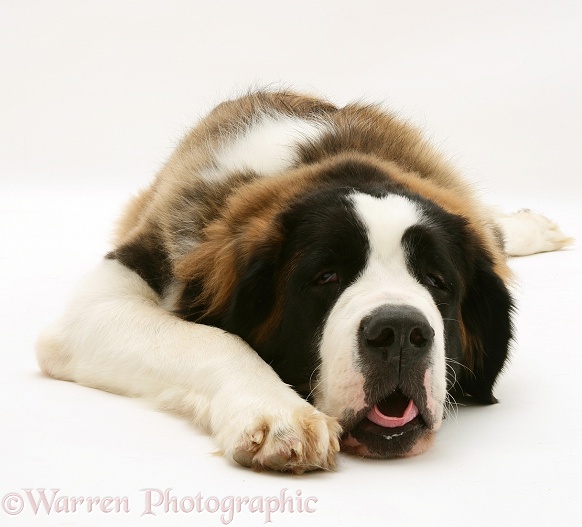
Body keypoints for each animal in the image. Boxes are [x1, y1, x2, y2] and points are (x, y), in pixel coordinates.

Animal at [37, 91, 576, 474]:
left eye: (436, 281)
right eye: (326, 277)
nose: (401, 332)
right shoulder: (108, 295)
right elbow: (213, 340)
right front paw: (278, 412)